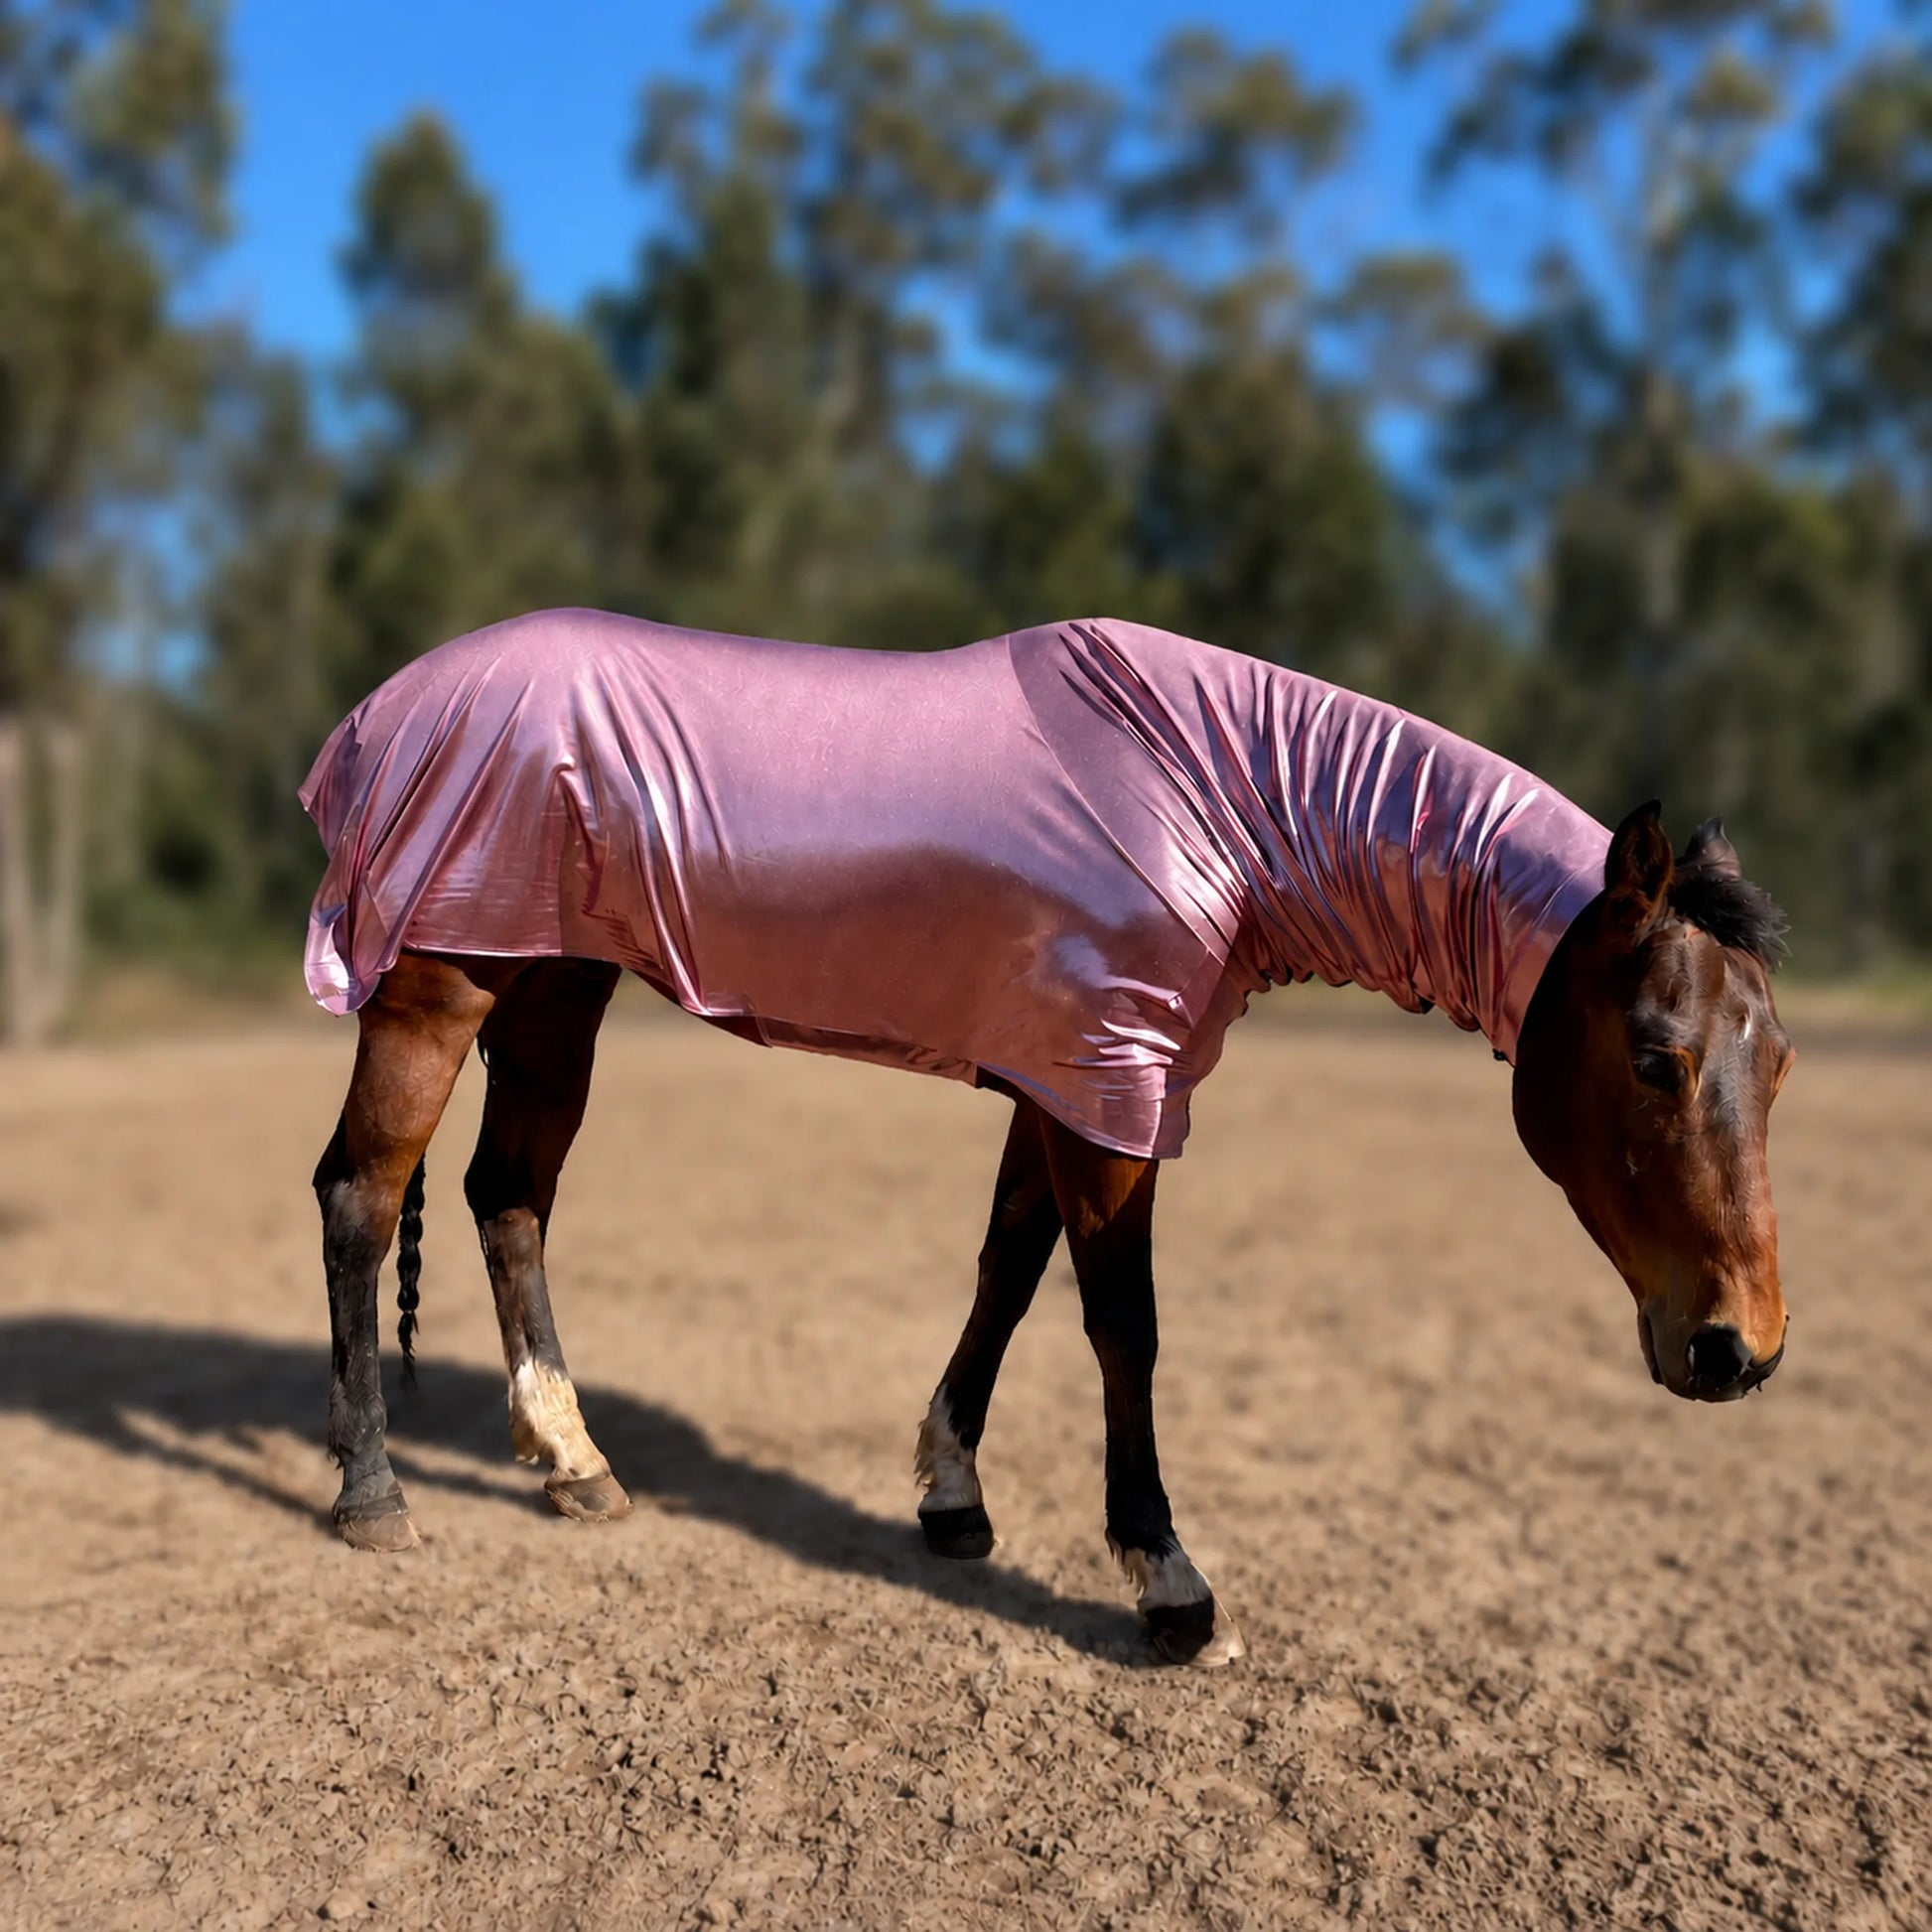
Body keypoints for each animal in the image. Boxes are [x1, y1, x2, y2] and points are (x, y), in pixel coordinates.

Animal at [304, 611, 1792, 1666]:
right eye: (1654, 1057)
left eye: (1775, 1060)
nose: (1741, 1348)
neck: (1216, 800)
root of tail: (382, 714)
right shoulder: (1114, 1088)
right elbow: (1122, 1325)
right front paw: (1171, 1585)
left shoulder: (1062, 1084)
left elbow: (1007, 1273)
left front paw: (953, 1498)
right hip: (438, 990)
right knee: (361, 1199)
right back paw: (373, 1493)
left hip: (554, 991)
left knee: (508, 1197)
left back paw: (573, 1463)